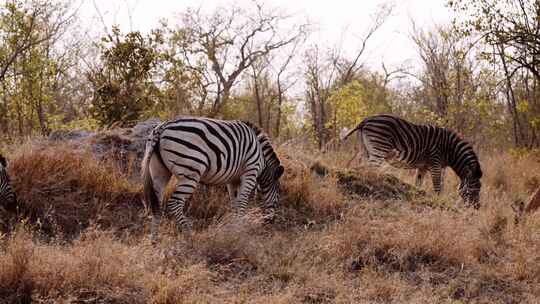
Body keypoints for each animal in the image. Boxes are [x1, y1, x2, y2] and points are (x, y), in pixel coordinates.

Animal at [141, 116, 284, 240]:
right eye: (278, 195)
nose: (270, 222)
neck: (262, 159)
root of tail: (162, 127)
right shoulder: (250, 172)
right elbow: (242, 202)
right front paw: (240, 229)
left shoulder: (233, 180)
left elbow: (234, 203)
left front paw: (234, 229)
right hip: (191, 173)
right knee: (174, 203)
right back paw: (190, 235)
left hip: (159, 172)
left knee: (157, 205)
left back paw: (154, 240)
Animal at [340, 114, 484, 207]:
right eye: (476, 188)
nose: (477, 208)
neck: (450, 150)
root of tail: (366, 120)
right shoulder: (435, 162)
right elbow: (438, 186)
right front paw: (439, 202)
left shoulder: (423, 166)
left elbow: (418, 184)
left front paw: (417, 197)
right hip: (379, 148)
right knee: (371, 170)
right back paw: (373, 186)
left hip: (365, 149)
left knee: (362, 168)